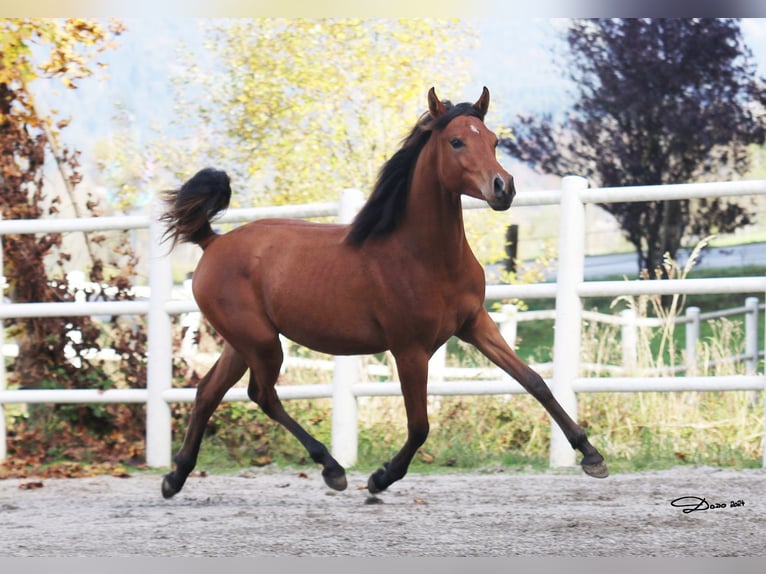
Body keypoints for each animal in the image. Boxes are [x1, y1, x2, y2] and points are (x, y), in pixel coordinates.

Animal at [159, 86, 608, 500]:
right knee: (261, 394)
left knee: (209, 392)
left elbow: (534, 381)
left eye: (494, 140)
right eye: (456, 141)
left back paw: (174, 478)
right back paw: (332, 469)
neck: (424, 257)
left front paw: (592, 455)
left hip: (243, 343)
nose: (504, 188)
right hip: (261, 342)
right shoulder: (409, 349)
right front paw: (381, 477)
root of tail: (213, 242)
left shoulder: (475, 324)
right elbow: (420, 425)